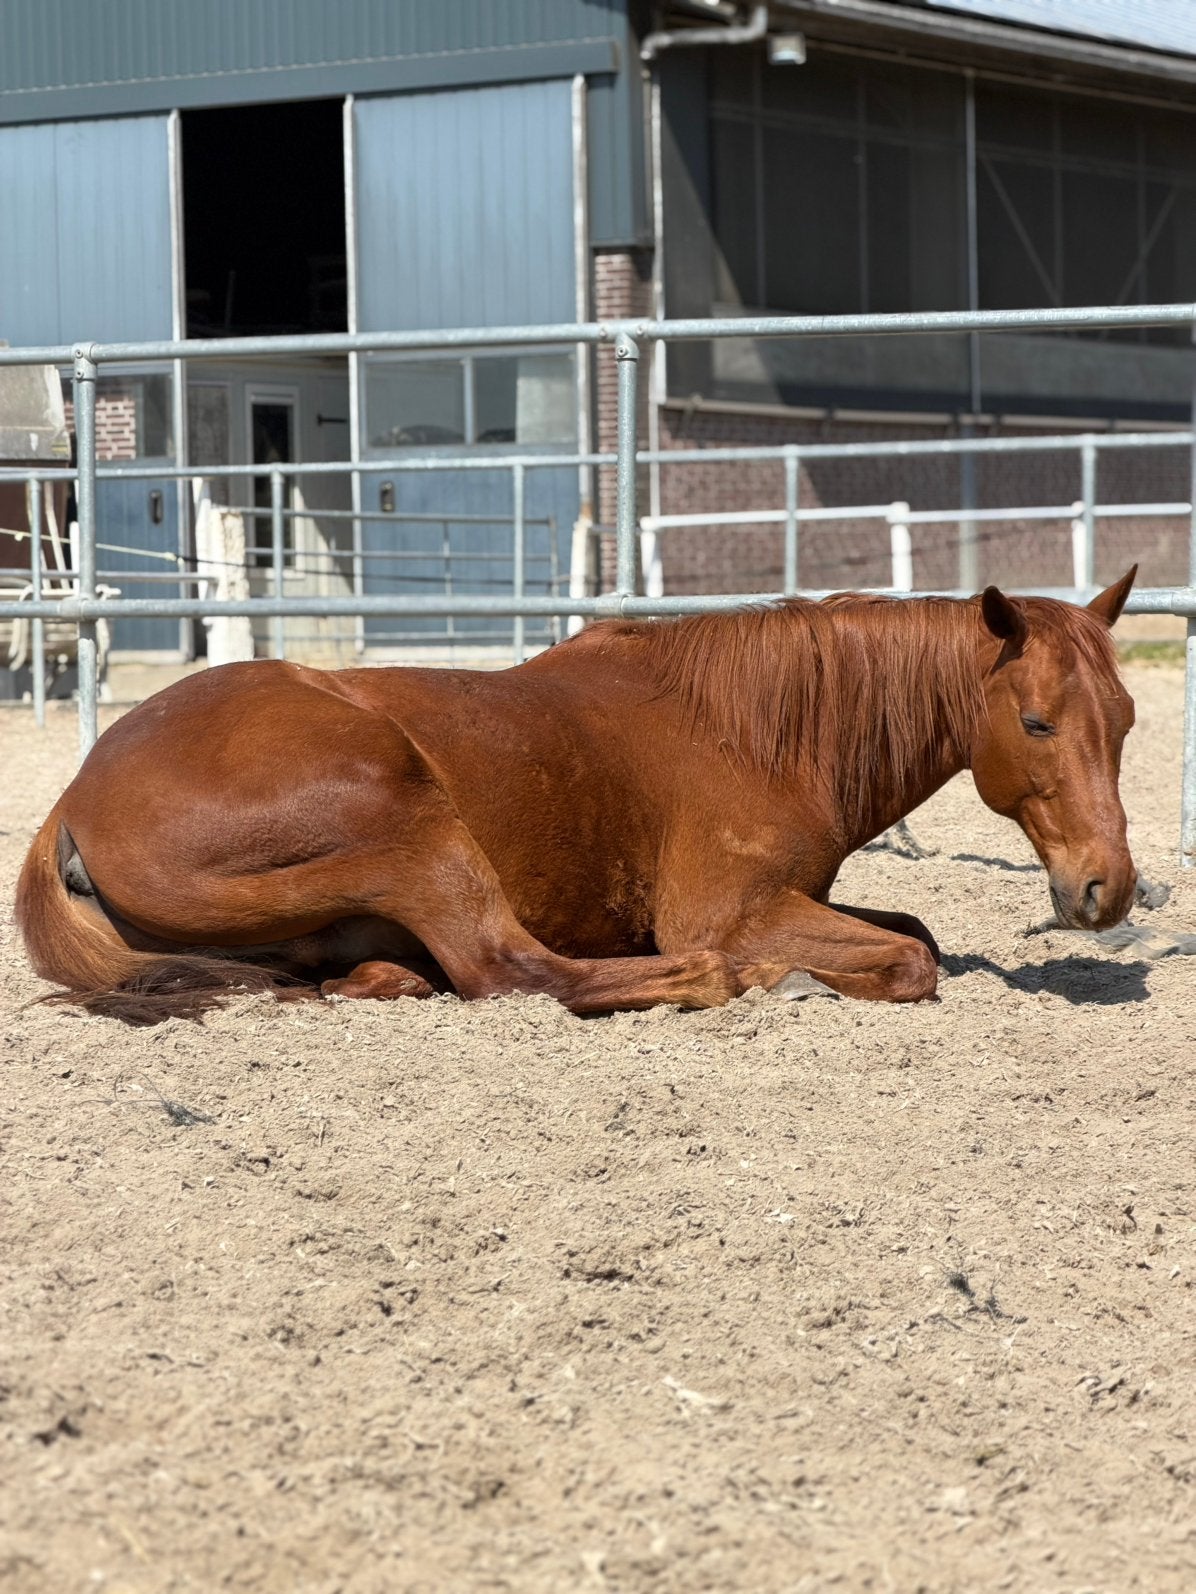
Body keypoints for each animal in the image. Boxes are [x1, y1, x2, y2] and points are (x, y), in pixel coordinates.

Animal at [16, 571, 1139, 1025]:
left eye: (1125, 719)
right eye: (1036, 723)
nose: (1108, 889)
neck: (756, 729)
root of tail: (75, 802)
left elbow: (917, 929)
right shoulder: (728, 911)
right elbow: (911, 958)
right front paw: (790, 977)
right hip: (413, 830)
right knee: (513, 971)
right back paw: (723, 981)